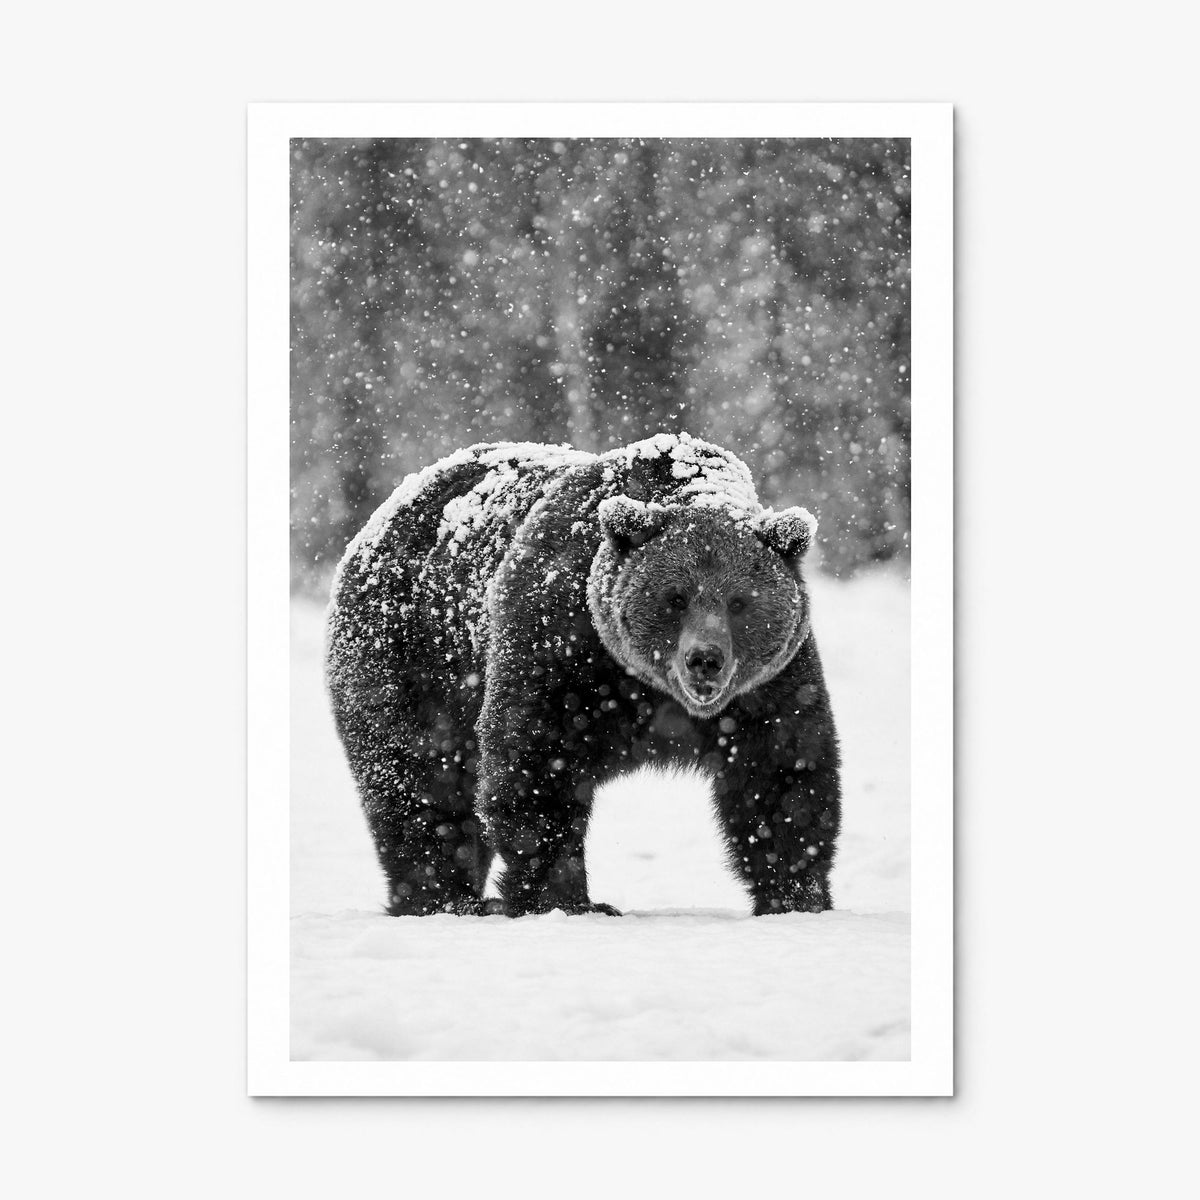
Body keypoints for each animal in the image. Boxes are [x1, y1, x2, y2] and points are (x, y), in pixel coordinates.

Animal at [325, 432, 841, 918]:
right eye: (675, 597)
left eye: (739, 602)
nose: (705, 658)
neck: (651, 690)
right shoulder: (560, 648)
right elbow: (535, 766)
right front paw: (568, 900)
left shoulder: (770, 686)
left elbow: (783, 775)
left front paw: (796, 896)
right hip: (411, 658)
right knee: (420, 781)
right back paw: (445, 898)